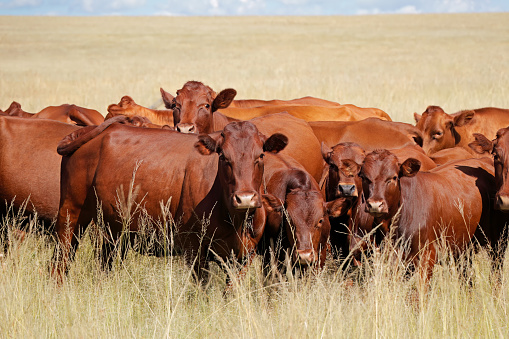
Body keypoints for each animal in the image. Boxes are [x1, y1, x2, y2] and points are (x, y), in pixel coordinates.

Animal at [53, 119, 288, 284]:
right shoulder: (193, 248)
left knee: (104, 263)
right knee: (60, 261)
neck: (234, 219)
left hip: (115, 229)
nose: (245, 198)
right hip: (71, 214)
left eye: (260, 156)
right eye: (223, 157)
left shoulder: (244, 255)